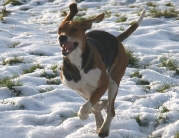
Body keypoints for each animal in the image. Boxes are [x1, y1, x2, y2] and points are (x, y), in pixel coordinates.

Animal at [58, 2, 145, 137]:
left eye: (74, 30)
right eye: (59, 30)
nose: (62, 37)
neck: (78, 63)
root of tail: (116, 39)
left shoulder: (103, 84)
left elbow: (87, 107)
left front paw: (85, 114)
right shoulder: (77, 88)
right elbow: (92, 104)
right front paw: (99, 106)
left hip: (113, 82)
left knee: (111, 110)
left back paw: (104, 128)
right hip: (90, 88)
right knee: (99, 106)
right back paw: (100, 120)